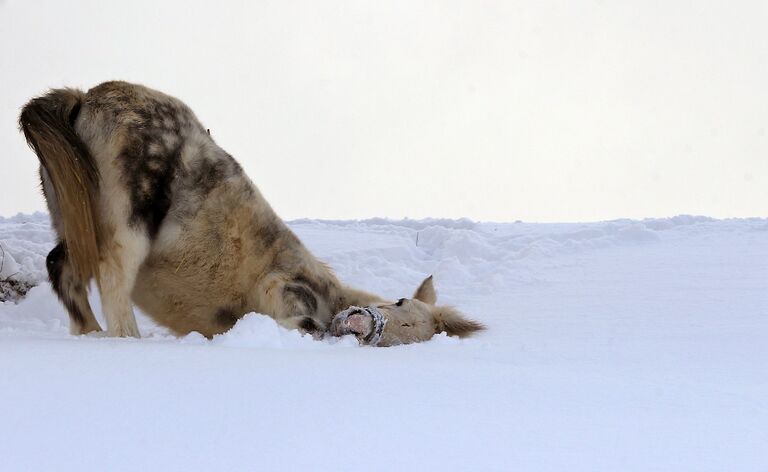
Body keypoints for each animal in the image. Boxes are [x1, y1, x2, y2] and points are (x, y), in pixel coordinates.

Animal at [18, 81, 484, 346]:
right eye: (400, 302)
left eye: (407, 337)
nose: (360, 326)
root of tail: (85, 97)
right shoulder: (282, 287)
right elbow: (295, 314)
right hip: (128, 223)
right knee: (112, 278)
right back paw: (127, 341)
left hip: (73, 215)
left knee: (63, 269)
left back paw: (91, 334)